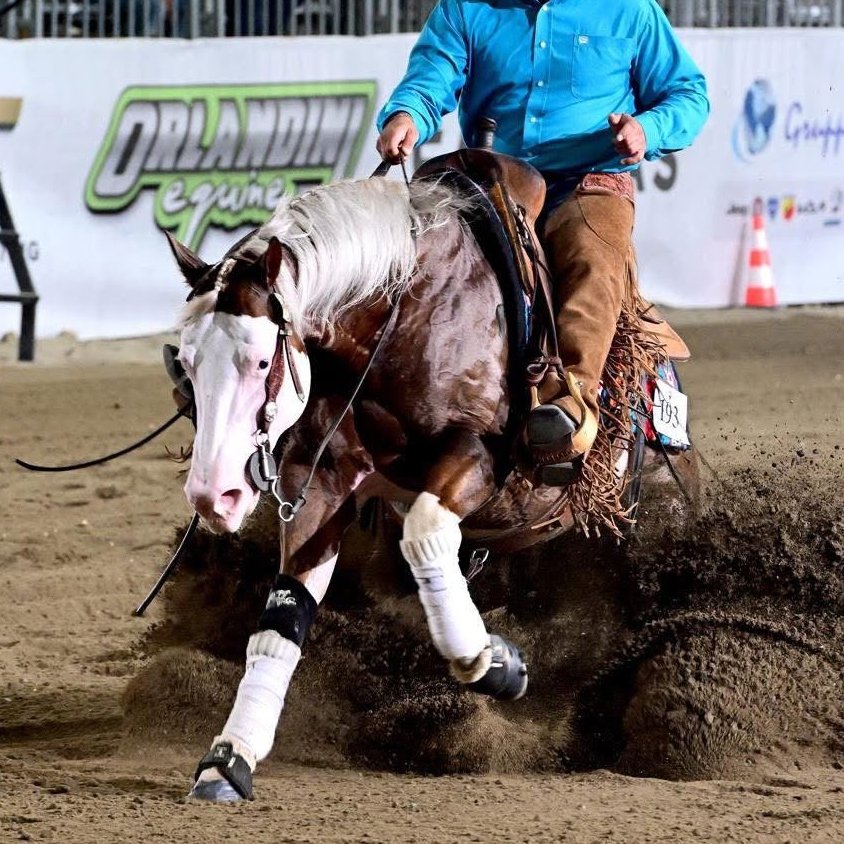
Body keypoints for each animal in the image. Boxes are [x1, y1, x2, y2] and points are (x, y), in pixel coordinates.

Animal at [166, 170, 698, 801]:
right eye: (185, 364)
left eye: (259, 361)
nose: (212, 495)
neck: (402, 318)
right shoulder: (321, 485)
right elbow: (284, 614)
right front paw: (229, 759)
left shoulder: (478, 459)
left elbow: (423, 534)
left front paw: (490, 661)